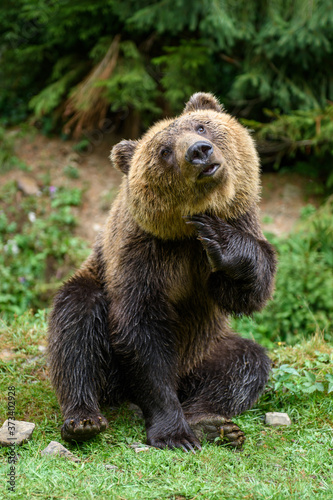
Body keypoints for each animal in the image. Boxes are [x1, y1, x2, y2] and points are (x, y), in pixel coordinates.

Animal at [46, 92, 274, 452]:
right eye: (164, 150)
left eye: (201, 126)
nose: (199, 151)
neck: (184, 235)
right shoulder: (145, 255)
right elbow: (141, 330)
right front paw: (174, 434)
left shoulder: (238, 225)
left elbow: (246, 291)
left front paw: (220, 238)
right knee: (77, 322)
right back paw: (83, 419)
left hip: (204, 349)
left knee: (245, 364)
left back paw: (212, 423)